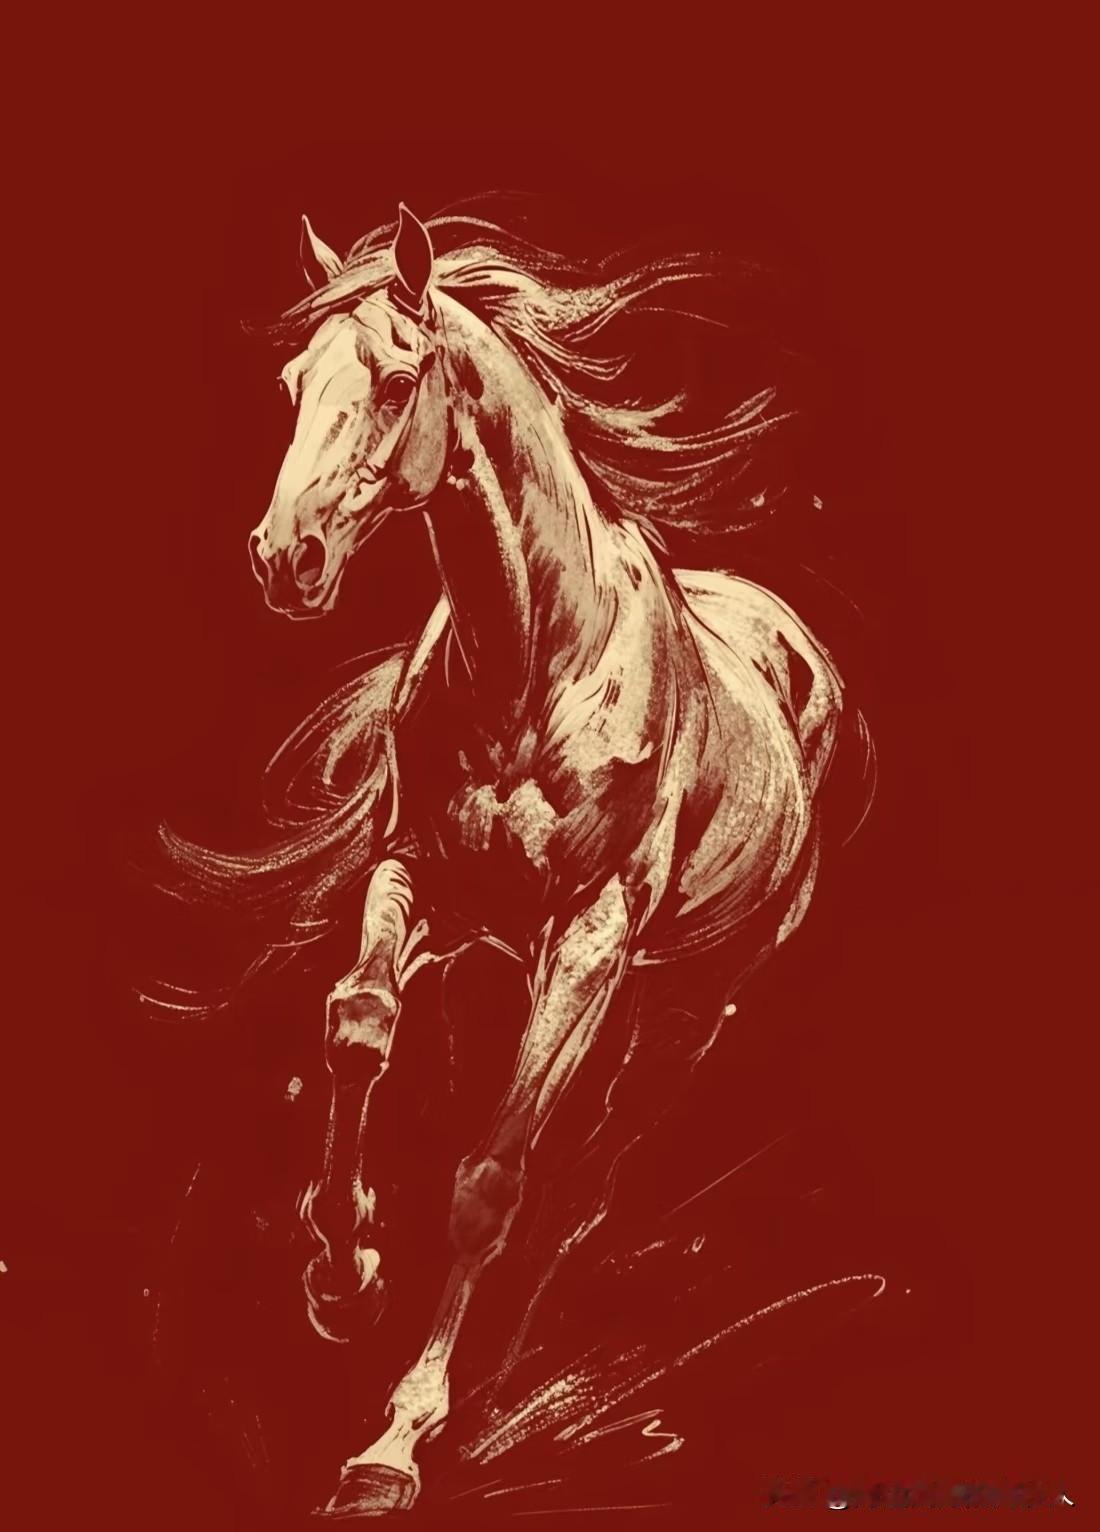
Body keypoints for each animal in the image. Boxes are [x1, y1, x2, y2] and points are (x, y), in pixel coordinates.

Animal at [161, 202, 849, 1517]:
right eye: (291, 382)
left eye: (392, 380)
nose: (284, 557)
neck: (540, 657)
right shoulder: (416, 875)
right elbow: (358, 1026)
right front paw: (343, 1270)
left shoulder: (587, 935)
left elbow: (489, 1175)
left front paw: (393, 1440)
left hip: (681, 1003)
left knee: (580, 1176)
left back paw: (490, 1388)